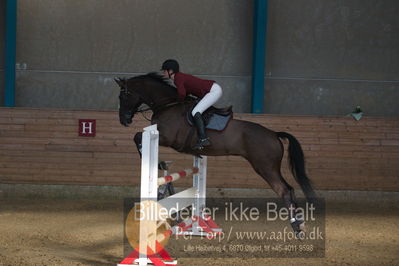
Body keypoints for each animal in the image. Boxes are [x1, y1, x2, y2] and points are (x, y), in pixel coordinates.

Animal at [115, 71, 316, 236]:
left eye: (124, 95)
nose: (124, 120)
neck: (168, 105)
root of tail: (274, 134)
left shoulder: (166, 137)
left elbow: (138, 136)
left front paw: (154, 162)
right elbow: (137, 137)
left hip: (265, 167)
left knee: (284, 190)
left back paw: (296, 226)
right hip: (270, 167)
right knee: (289, 189)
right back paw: (300, 224)